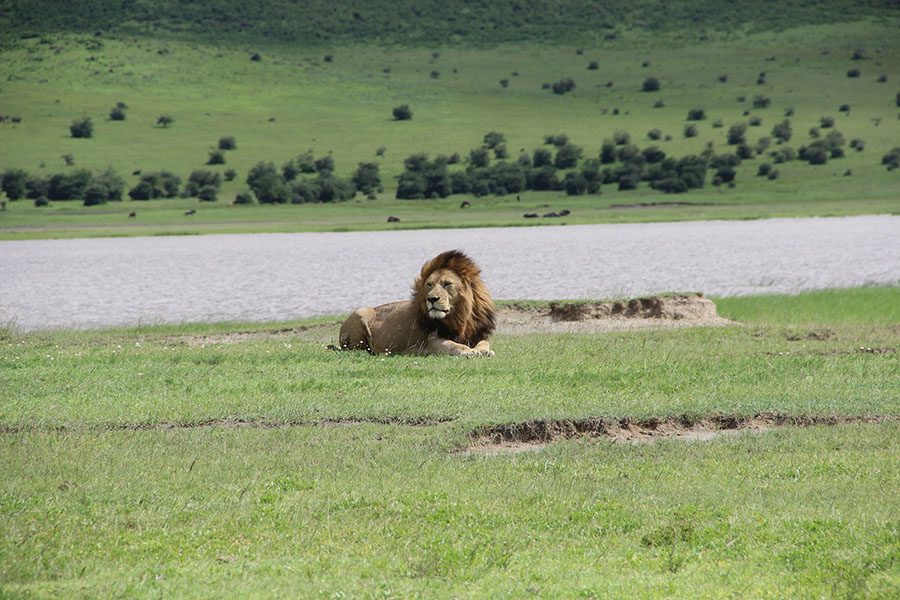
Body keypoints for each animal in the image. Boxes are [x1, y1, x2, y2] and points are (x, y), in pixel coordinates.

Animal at [338, 250, 496, 356]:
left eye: (447, 284)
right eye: (429, 285)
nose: (431, 299)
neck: (461, 317)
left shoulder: (479, 334)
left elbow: (485, 344)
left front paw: (484, 351)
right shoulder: (432, 341)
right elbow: (453, 345)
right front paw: (469, 352)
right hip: (361, 312)